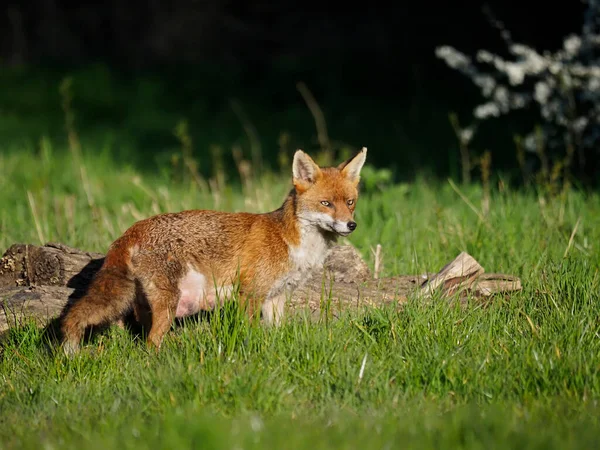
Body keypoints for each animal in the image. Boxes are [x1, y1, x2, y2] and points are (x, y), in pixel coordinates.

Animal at [63, 148, 368, 356]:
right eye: (326, 203)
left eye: (350, 202)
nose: (351, 225)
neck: (293, 243)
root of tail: (132, 229)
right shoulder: (250, 294)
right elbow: (249, 333)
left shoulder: (276, 297)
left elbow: (276, 335)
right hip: (169, 302)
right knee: (151, 342)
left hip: (147, 303)